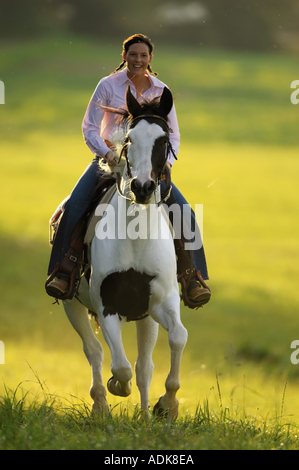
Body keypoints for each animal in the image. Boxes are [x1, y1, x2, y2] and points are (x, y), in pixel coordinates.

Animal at [63, 85, 188, 418]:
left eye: (164, 140)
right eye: (130, 139)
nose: (142, 187)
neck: (135, 241)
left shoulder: (162, 301)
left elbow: (177, 338)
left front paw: (167, 404)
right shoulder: (106, 305)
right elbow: (119, 367)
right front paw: (116, 387)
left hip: (145, 318)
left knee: (144, 367)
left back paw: (144, 415)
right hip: (71, 304)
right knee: (94, 351)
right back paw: (101, 406)